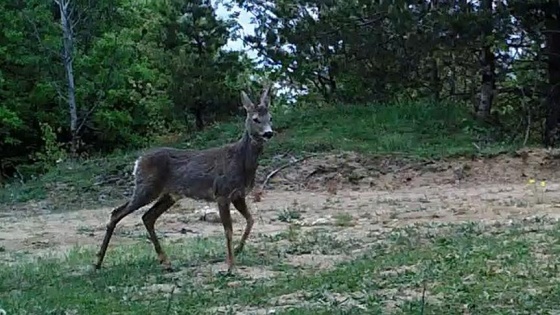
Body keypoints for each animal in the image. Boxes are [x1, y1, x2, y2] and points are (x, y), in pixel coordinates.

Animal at [95, 85, 274, 272]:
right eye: (255, 119)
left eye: (270, 117)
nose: (269, 133)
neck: (240, 161)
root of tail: (138, 162)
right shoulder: (222, 192)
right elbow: (228, 230)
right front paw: (231, 266)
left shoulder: (238, 194)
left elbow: (251, 220)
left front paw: (239, 250)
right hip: (147, 187)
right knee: (117, 213)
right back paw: (98, 262)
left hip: (169, 194)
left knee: (147, 217)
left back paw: (165, 262)